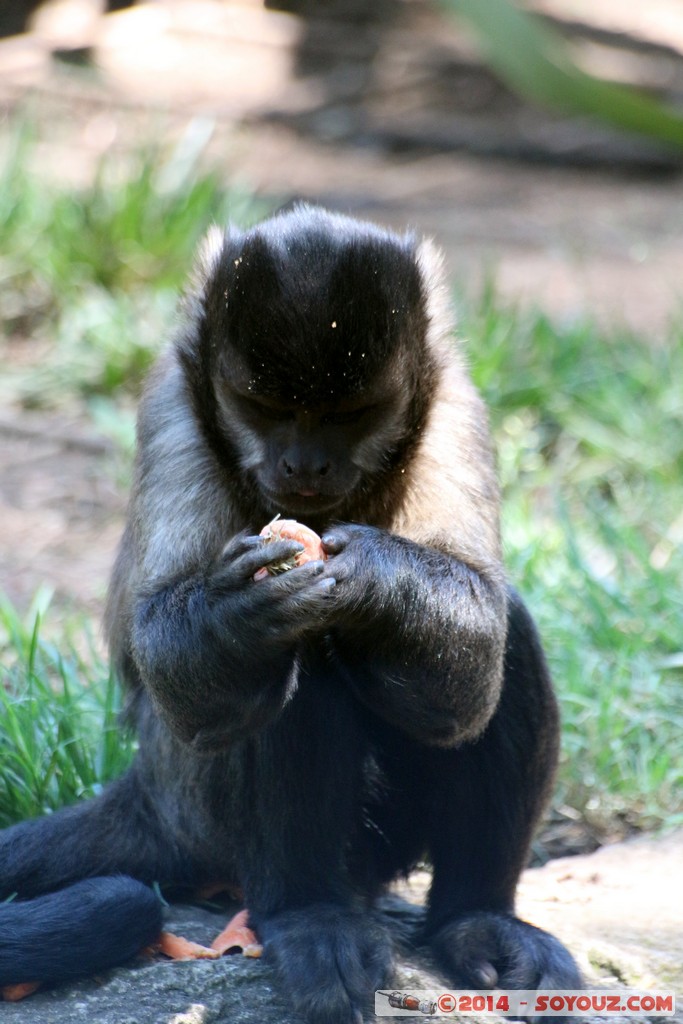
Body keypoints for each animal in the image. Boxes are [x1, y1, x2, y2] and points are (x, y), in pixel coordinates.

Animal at [0, 205, 581, 1015]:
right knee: (294, 663)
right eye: (265, 408)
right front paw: (240, 612)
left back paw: (475, 919)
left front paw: (375, 577)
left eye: (352, 413)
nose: (304, 464)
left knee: (504, 638)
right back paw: (309, 912)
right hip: (200, 806)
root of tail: (149, 797)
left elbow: (470, 666)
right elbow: (180, 672)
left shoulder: (455, 399)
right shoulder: (173, 404)